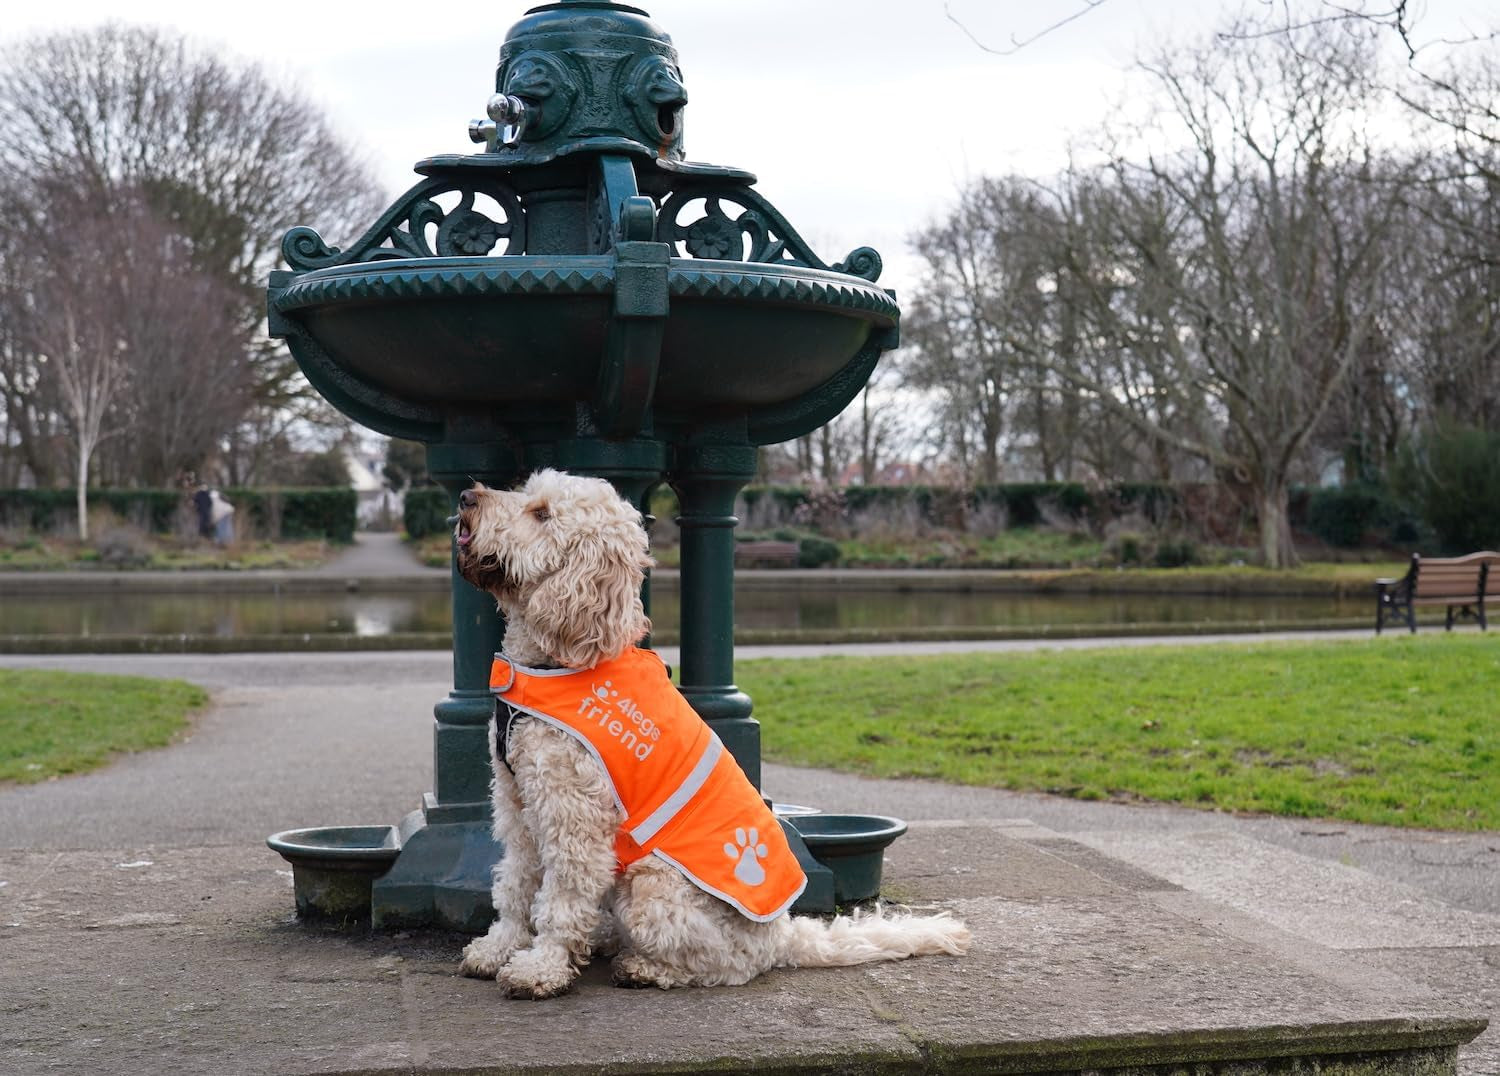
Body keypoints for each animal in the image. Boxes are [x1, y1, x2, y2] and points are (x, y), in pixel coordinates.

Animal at [453, 471, 972, 996]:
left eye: (541, 514)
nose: (466, 496)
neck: (557, 659)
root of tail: (783, 935)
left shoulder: (571, 818)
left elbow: (560, 900)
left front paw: (542, 968)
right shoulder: (517, 803)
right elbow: (515, 883)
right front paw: (499, 948)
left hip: (653, 885)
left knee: (726, 964)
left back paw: (643, 967)